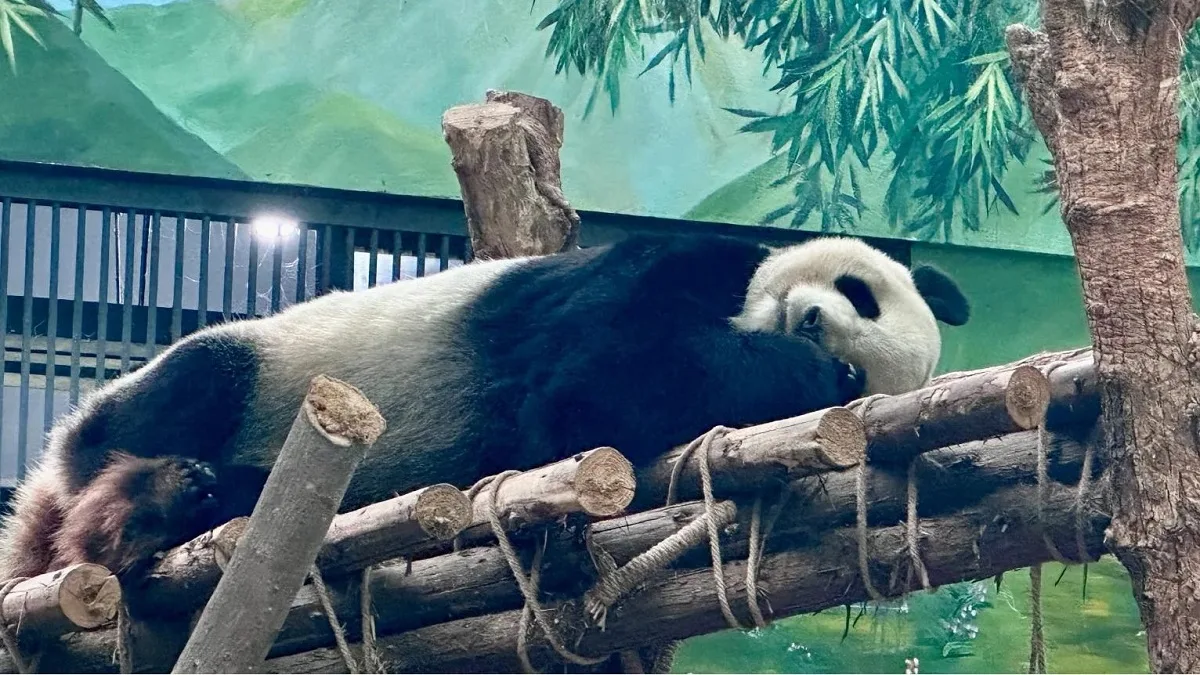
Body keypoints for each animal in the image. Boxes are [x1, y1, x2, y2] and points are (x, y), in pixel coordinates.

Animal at [0, 233, 968, 593]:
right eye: (860, 290)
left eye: (861, 354)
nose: (812, 321)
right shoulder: (667, 267)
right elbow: (594, 373)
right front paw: (788, 361)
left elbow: (589, 401)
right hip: (252, 369)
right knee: (171, 399)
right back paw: (147, 502)